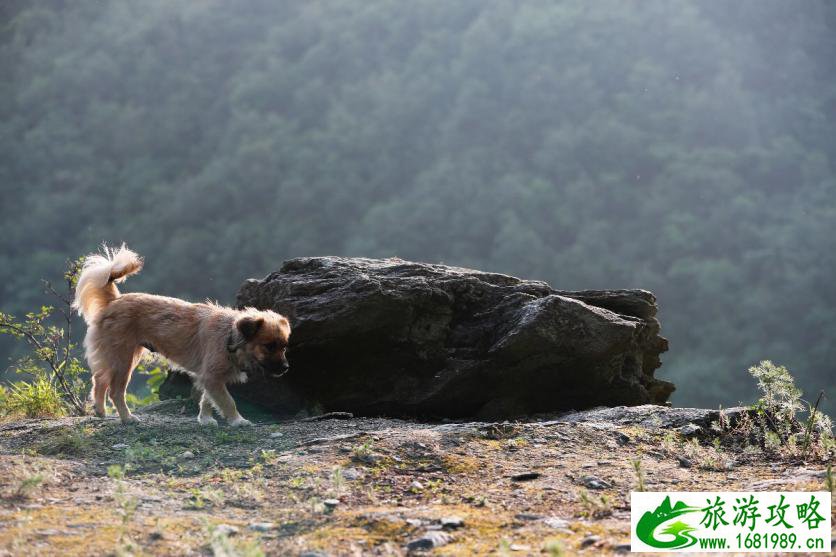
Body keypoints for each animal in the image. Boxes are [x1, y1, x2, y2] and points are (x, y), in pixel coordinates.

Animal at [72, 244, 294, 426]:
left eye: (284, 346)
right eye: (269, 346)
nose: (285, 368)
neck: (230, 336)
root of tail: (114, 301)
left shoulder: (208, 377)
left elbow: (207, 399)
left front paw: (205, 419)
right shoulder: (212, 377)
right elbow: (227, 401)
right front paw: (237, 421)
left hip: (119, 357)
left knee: (99, 379)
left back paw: (100, 411)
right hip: (124, 358)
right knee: (115, 391)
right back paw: (127, 418)